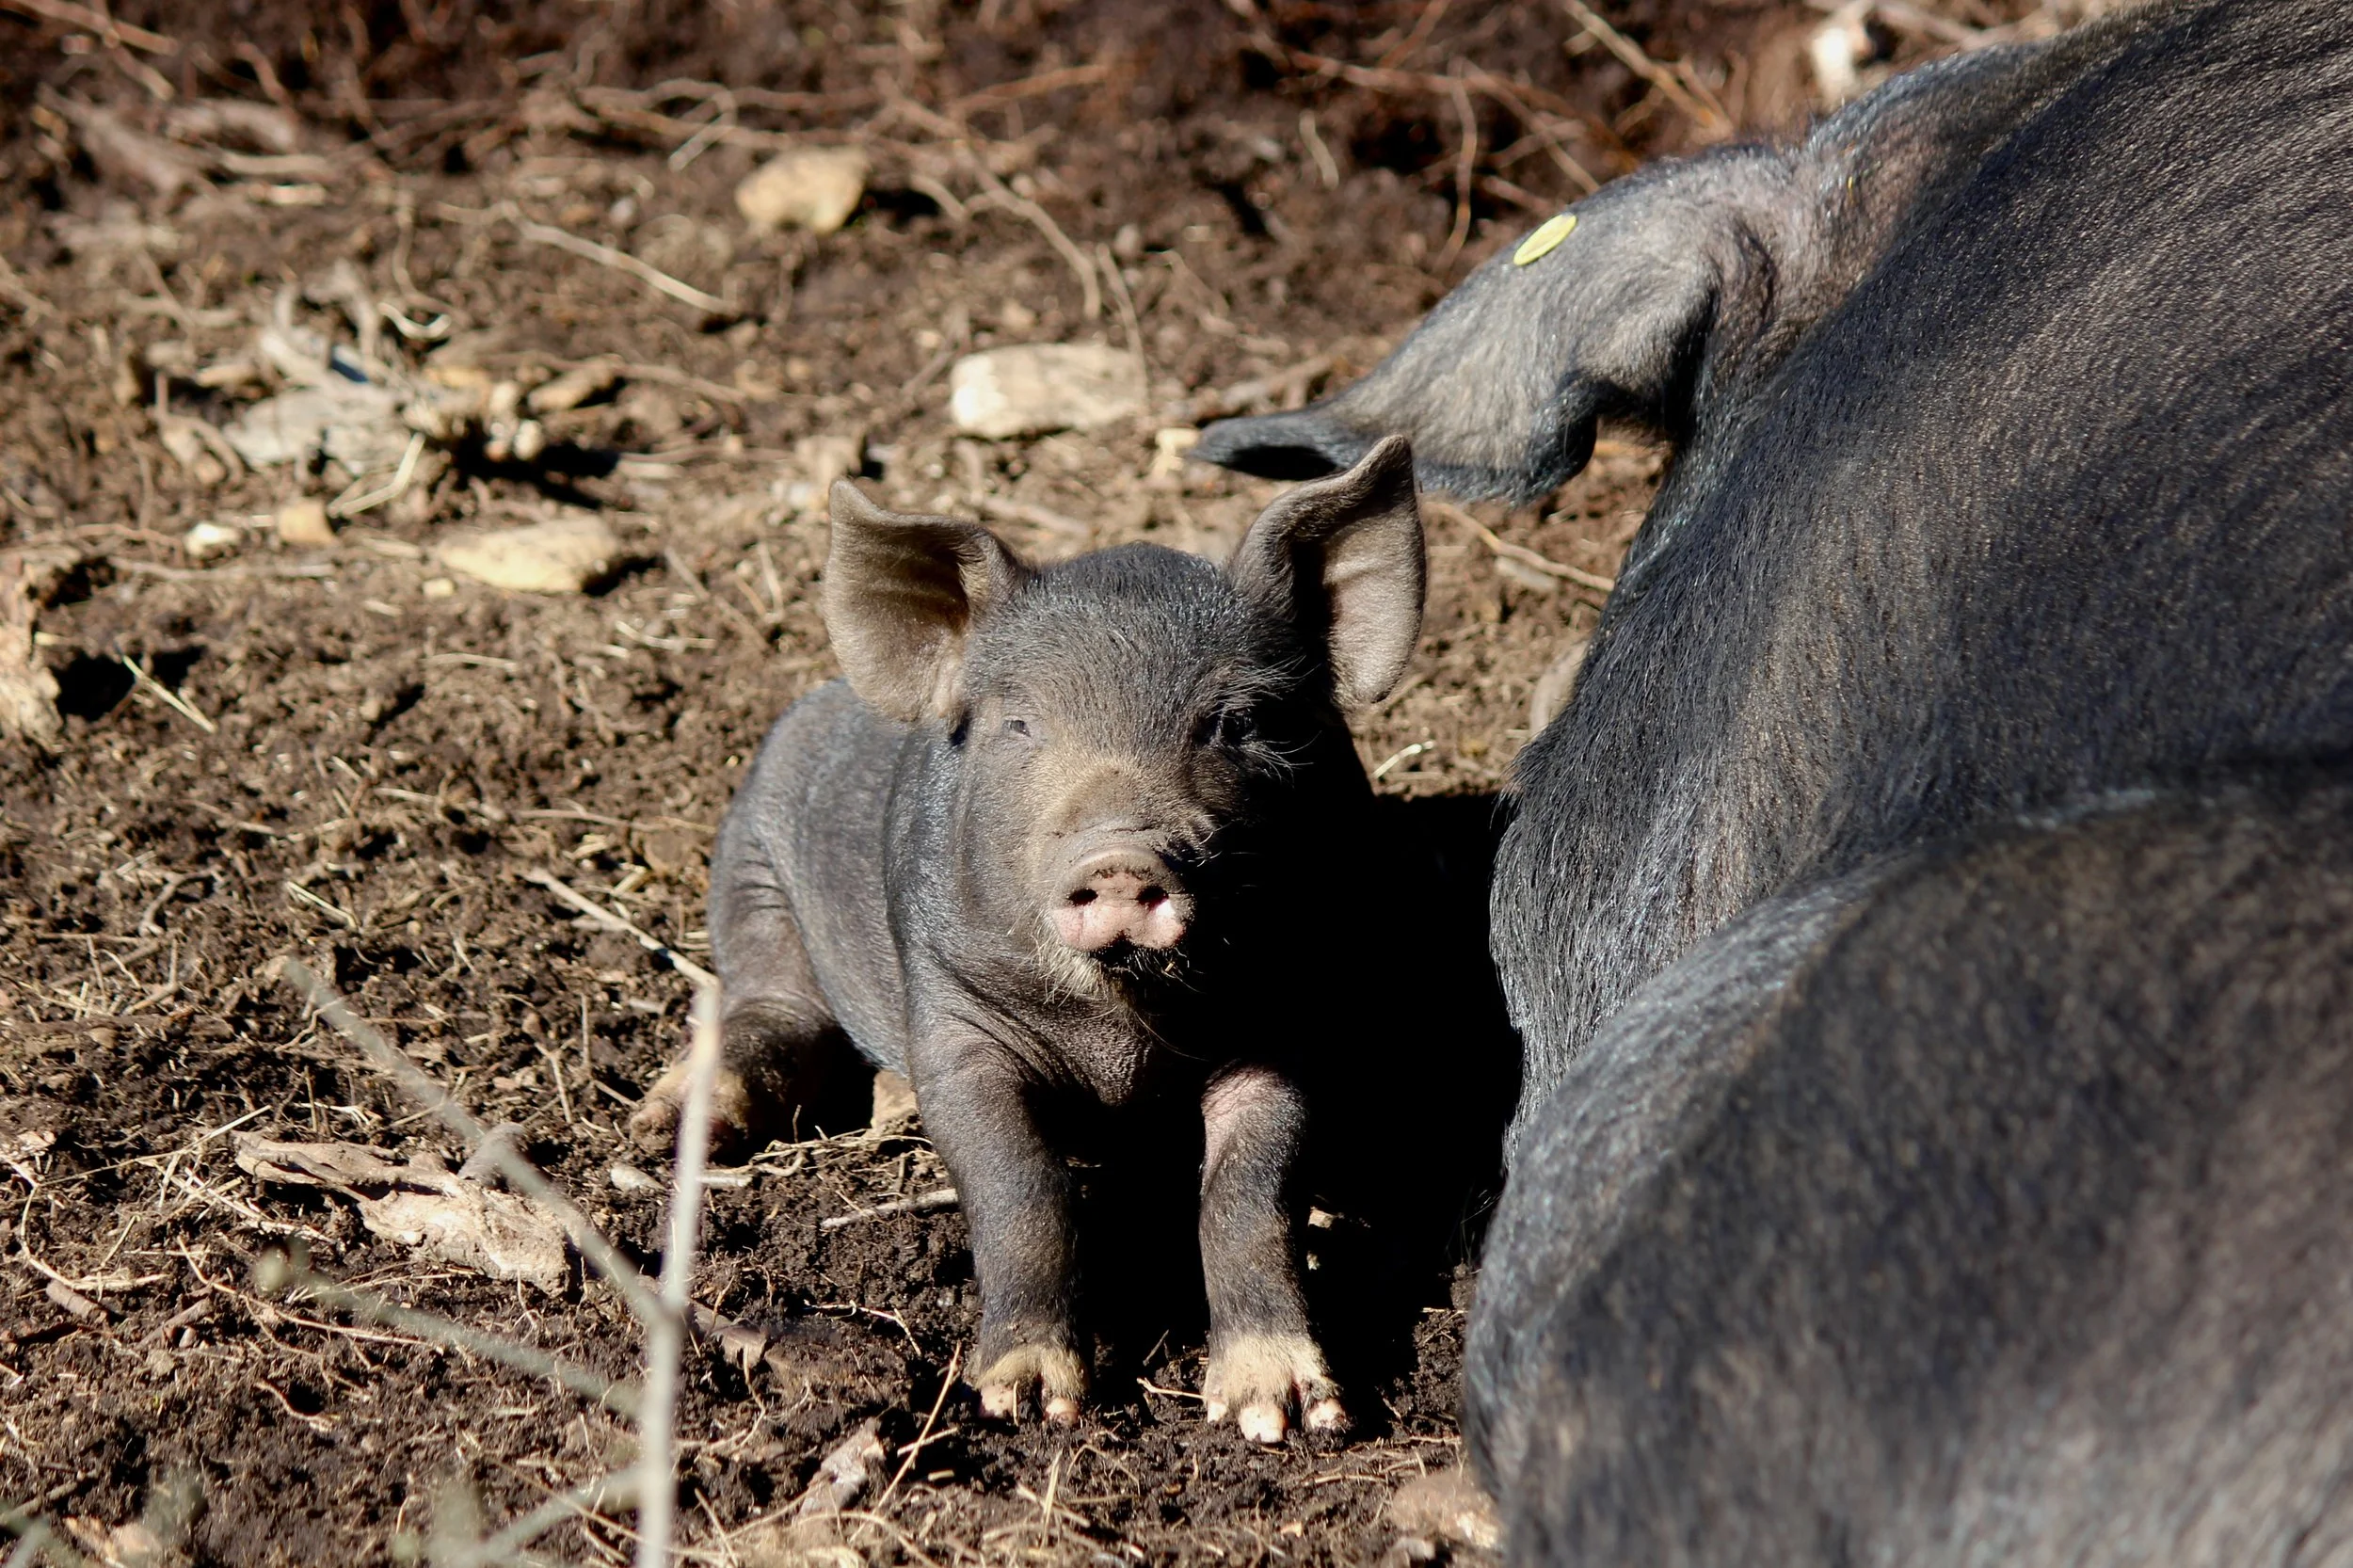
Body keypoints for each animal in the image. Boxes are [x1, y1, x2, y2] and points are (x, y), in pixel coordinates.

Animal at [630, 438, 1426, 1440]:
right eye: (1020, 723)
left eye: (1238, 723)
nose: (1123, 855)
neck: (1119, 1030)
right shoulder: (956, 1019)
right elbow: (1021, 1186)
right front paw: (1027, 1401)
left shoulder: (1283, 1020)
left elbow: (1251, 1192)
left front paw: (1277, 1415)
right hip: (750, 867)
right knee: (772, 1008)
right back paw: (667, 1125)